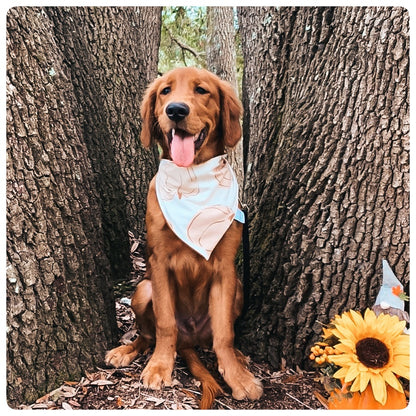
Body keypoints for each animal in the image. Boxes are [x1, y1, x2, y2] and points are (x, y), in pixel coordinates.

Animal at [107, 66, 264, 408]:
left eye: (202, 90)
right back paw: (126, 351)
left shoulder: (225, 268)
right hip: (143, 289)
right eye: (165, 91)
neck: (191, 178)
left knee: (215, 338)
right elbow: (165, 324)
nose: (176, 110)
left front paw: (237, 377)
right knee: (148, 335)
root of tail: (189, 340)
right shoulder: (159, 264)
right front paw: (159, 367)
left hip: (238, 289)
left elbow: (225, 334)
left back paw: (238, 358)